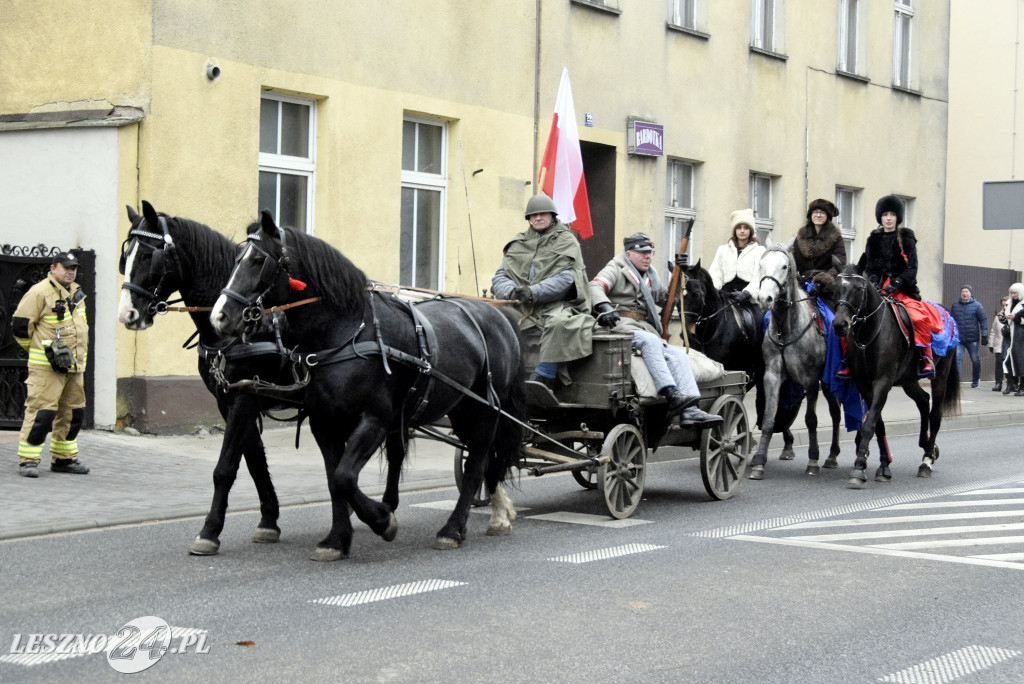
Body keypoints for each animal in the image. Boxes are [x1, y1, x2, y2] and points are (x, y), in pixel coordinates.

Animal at [209, 211, 528, 561]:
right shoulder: (324, 423)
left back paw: (454, 529)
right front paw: (337, 540)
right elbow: (334, 480)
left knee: (477, 464)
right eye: (236, 259)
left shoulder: (374, 420)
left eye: (258, 261)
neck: (346, 334)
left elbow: (345, 477)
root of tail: (499, 315)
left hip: (485, 411)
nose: (219, 316)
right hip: (459, 410)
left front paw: (382, 521)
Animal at [753, 246, 839, 481]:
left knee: (836, 414)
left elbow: (811, 419)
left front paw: (813, 460)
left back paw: (831, 456)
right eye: (761, 265)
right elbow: (769, 419)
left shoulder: (811, 381)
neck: (786, 328)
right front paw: (759, 463)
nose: (765, 298)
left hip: (829, 383)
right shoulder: (772, 377)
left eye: (784, 266)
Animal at [831, 266, 958, 485]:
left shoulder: (883, 382)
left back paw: (926, 461)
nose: (840, 325)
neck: (870, 332)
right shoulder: (864, 384)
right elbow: (878, 424)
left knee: (935, 414)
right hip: (909, 380)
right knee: (923, 401)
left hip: (940, 375)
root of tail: (947, 313)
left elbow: (869, 424)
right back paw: (926, 445)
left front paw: (859, 468)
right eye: (836, 287)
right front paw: (883, 466)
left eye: (858, 289)